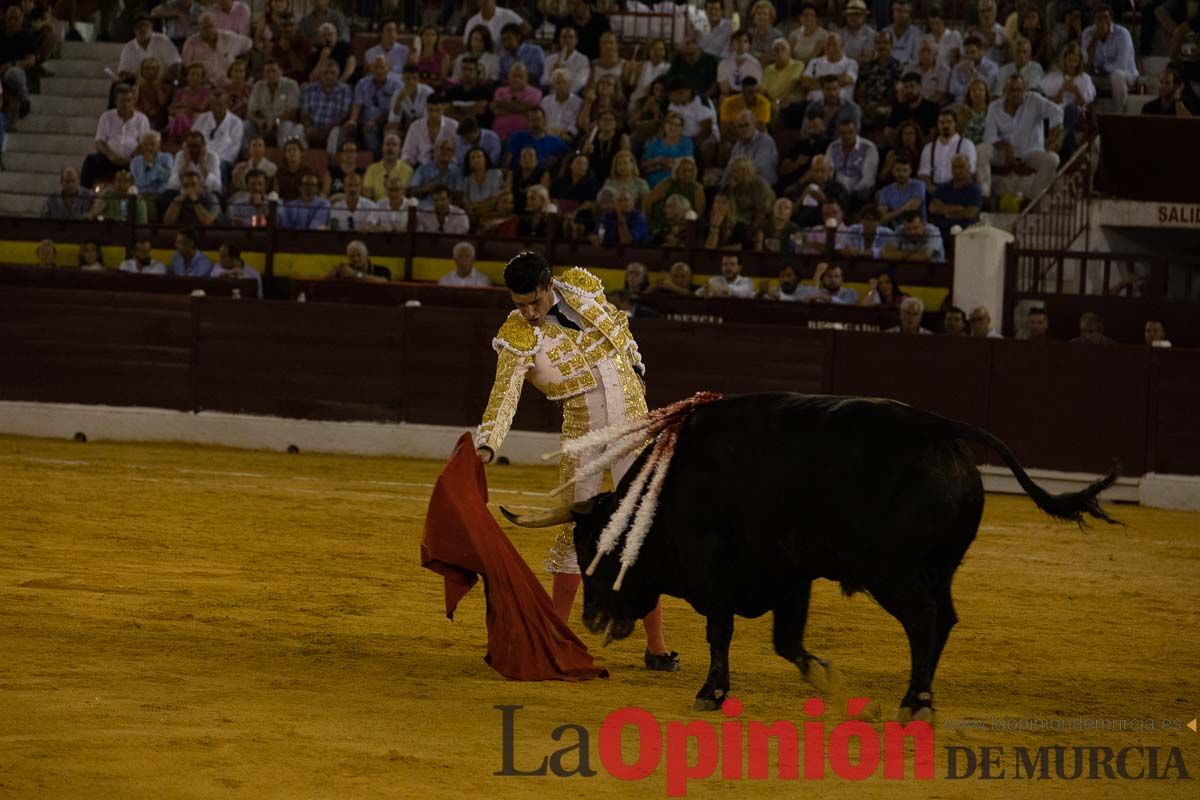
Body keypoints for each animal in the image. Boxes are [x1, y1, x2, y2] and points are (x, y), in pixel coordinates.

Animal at [501, 393, 1118, 719]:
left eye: (594, 549)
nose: (593, 620)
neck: (673, 490)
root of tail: (937, 430)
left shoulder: (717, 577)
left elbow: (720, 633)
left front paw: (712, 692)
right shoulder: (790, 577)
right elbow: (787, 641)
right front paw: (826, 678)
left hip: (894, 574)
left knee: (924, 621)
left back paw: (914, 700)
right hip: (938, 571)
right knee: (944, 620)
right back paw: (919, 696)